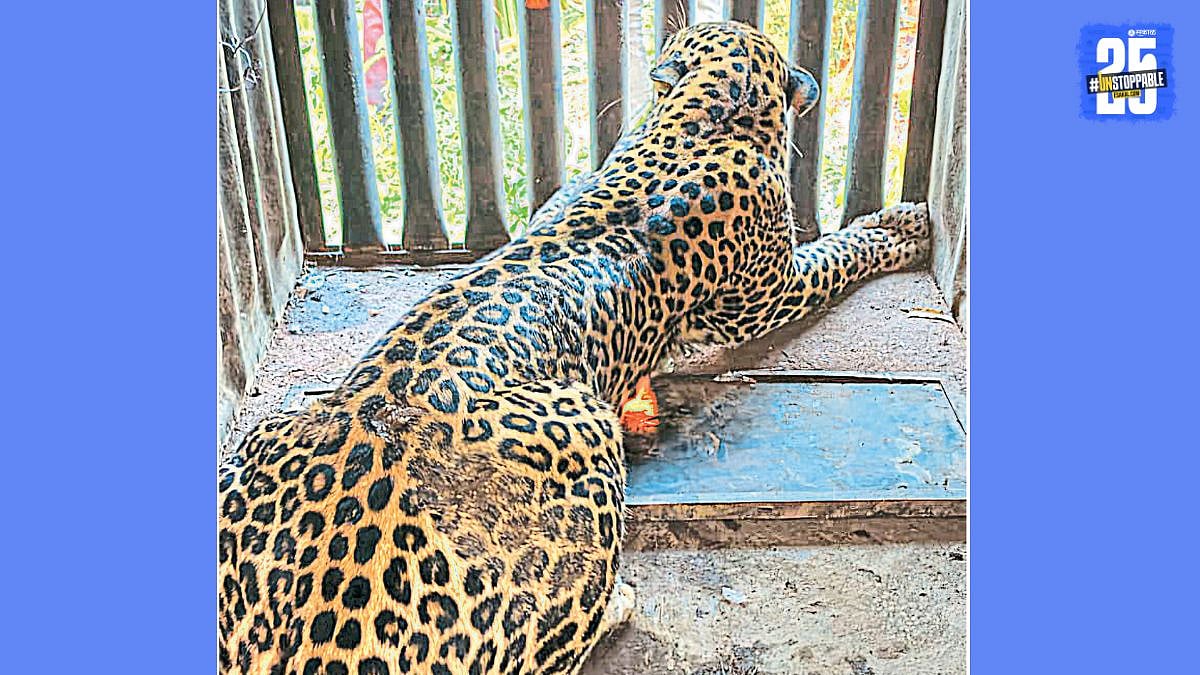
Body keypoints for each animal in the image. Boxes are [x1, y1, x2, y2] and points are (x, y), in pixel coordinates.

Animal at [218, 20, 930, 675]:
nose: (806, 78)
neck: (694, 117)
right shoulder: (770, 293)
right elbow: (840, 251)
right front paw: (904, 224)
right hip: (589, 434)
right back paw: (619, 602)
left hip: (263, 429)